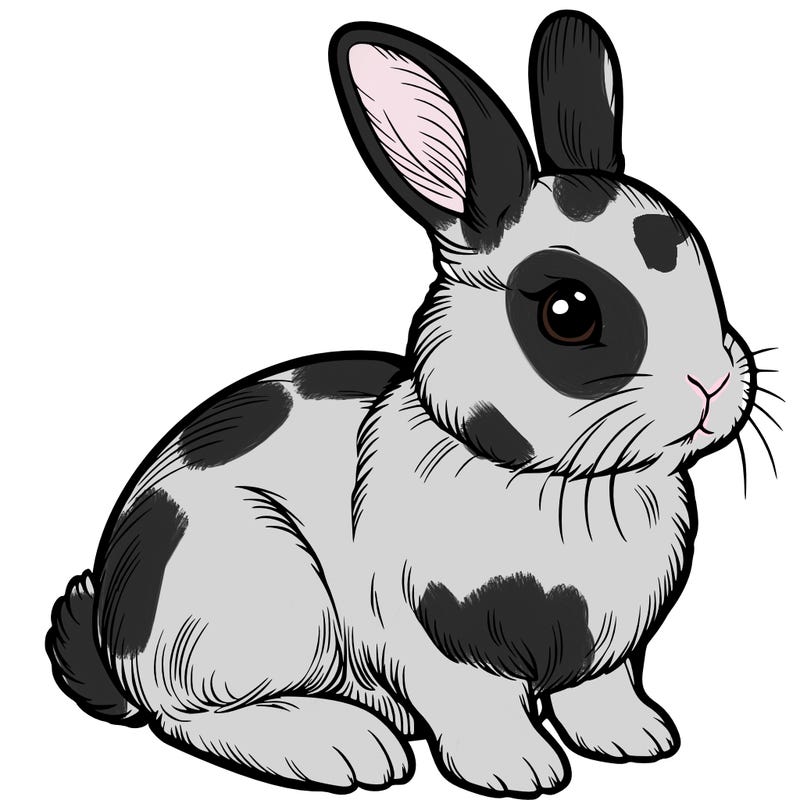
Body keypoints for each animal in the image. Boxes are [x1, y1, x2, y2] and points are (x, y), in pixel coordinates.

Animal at [46, 11, 758, 797]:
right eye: (569, 313)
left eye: (701, 258)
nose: (712, 383)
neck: (562, 482)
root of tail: (115, 637)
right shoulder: (437, 646)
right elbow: (477, 705)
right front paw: (520, 771)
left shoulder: (610, 651)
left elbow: (599, 690)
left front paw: (639, 741)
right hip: (255, 599)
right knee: (188, 716)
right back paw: (345, 745)